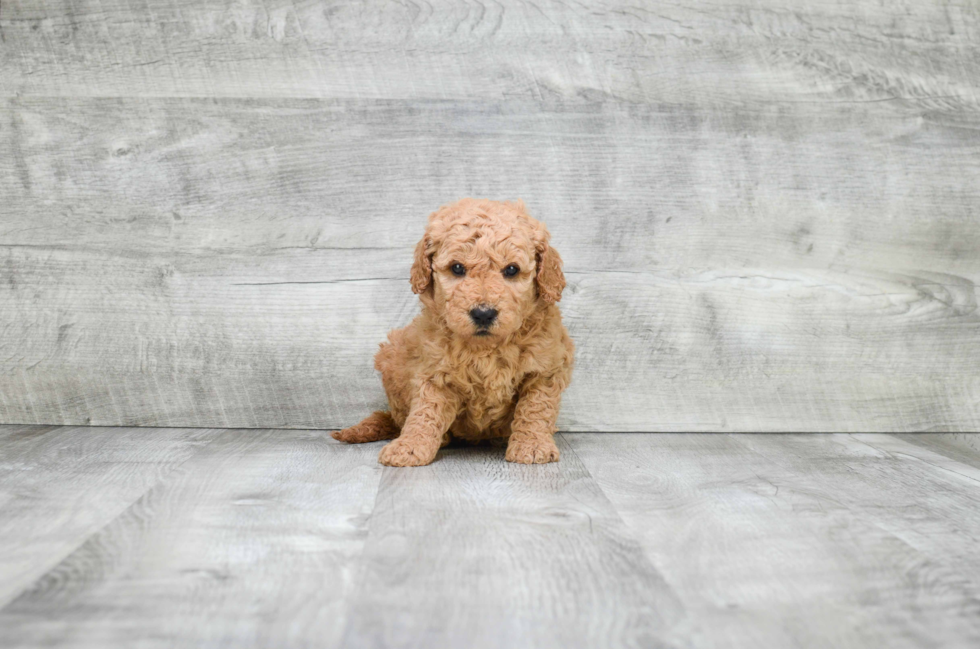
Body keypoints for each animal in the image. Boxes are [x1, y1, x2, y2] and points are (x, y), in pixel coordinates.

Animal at [334, 197, 572, 466]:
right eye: (457, 268)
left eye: (511, 270)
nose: (483, 313)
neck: (486, 347)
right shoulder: (435, 369)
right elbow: (425, 410)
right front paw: (410, 446)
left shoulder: (545, 368)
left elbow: (536, 409)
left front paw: (532, 445)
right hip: (392, 357)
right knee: (399, 417)